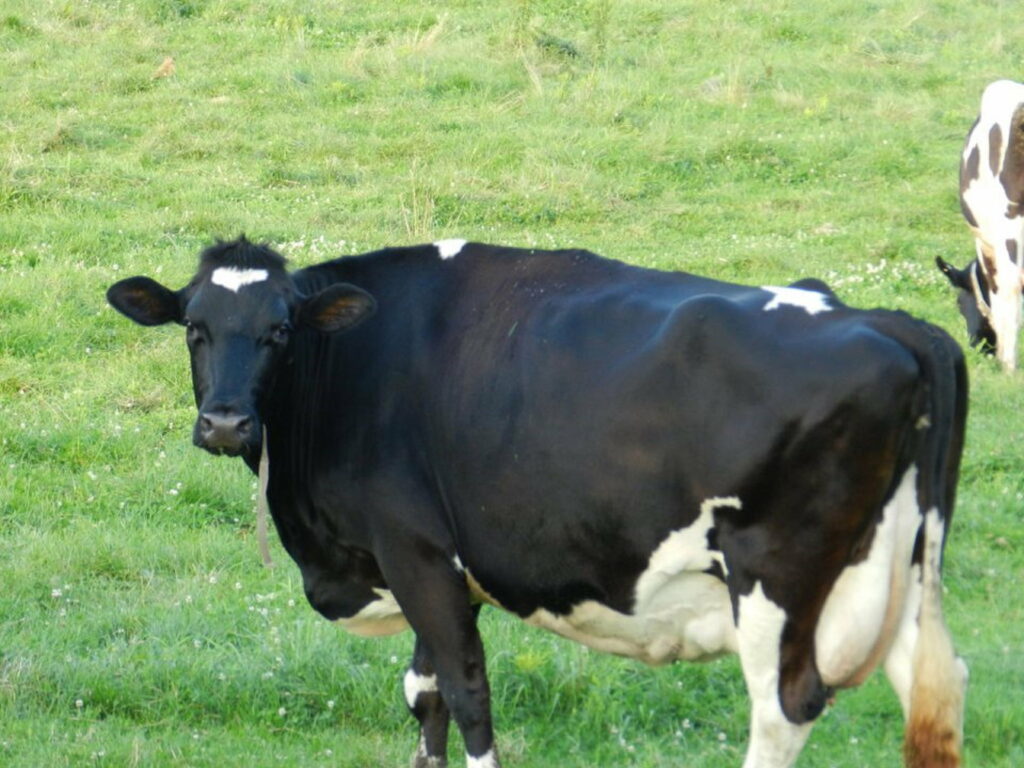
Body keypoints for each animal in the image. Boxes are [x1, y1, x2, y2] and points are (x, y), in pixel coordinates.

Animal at [107, 236, 968, 768]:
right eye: (193, 327)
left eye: (281, 331)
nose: (225, 422)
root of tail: (894, 325)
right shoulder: (439, 572)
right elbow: (425, 694)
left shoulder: (415, 551)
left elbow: (468, 694)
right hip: (898, 573)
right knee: (936, 686)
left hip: (775, 579)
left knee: (782, 709)